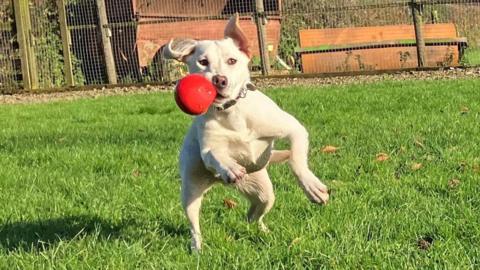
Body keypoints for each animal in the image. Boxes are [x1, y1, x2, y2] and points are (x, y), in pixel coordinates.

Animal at [163, 14, 328, 251]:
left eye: (232, 61)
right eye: (203, 62)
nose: (219, 79)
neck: (231, 112)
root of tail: (217, 182)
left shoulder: (294, 128)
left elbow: (296, 159)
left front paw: (311, 187)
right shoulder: (209, 148)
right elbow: (215, 154)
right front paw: (229, 167)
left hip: (263, 190)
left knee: (253, 214)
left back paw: (263, 231)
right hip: (191, 190)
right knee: (195, 223)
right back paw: (197, 248)